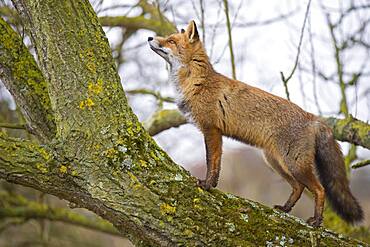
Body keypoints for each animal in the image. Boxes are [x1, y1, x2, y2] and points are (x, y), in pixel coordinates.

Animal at [147, 20, 362, 226]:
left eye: (171, 41)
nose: (149, 37)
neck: (197, 82)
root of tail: (312, 117)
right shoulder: (215, 132)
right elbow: (216, 164)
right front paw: (212, 185)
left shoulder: (211, 129)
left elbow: (211, 162)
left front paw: (207, 185)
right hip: (276, 162)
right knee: (299, 187)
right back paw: (285, 208)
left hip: (294, 164)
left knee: (319, 189)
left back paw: (316, 221)